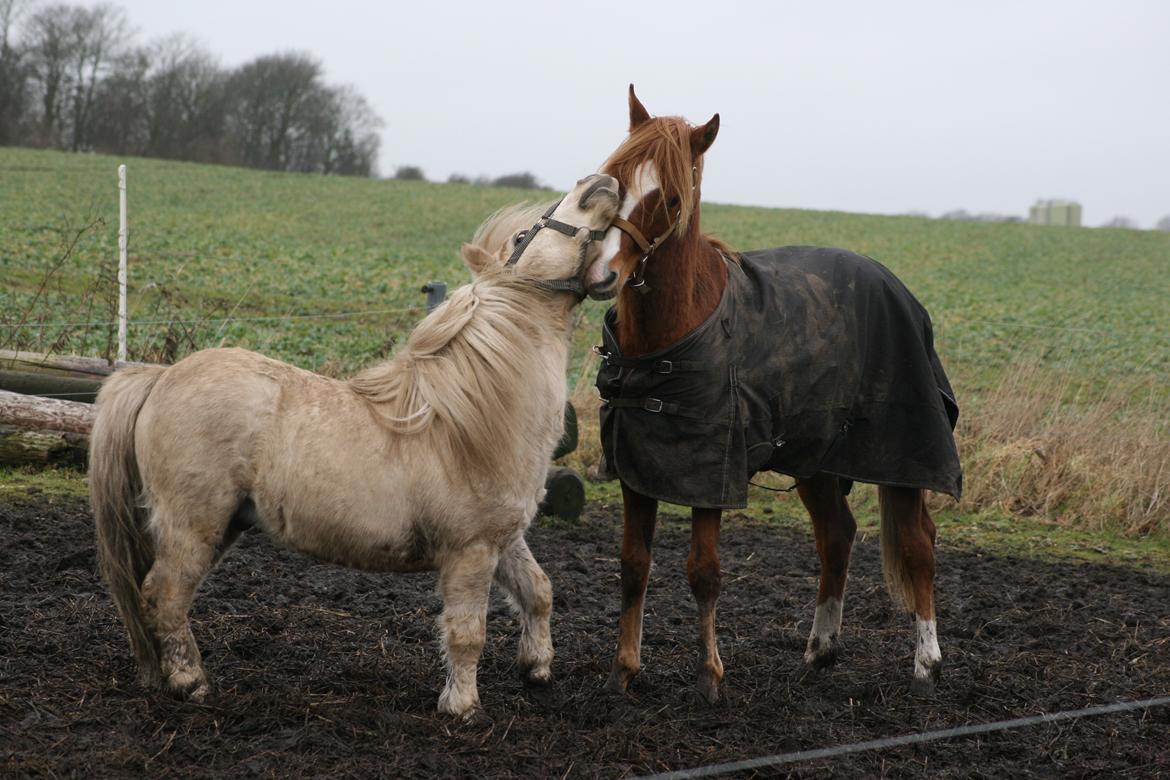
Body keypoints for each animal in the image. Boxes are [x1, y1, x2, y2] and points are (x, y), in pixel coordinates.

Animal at [585, 88, 959, 706]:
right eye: (614, 179)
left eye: (668, 197)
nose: (599, 274)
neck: (673, 336)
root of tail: (895, 286)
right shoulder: (637, 471)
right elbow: (633, 565)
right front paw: (622, 671)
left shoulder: (713, 477)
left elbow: (704, 571)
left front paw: (709, 678)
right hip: (816, 460)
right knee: (837, 537)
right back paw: (821, 650)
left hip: (904, 458)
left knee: (917, 546)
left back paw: (927, 663)